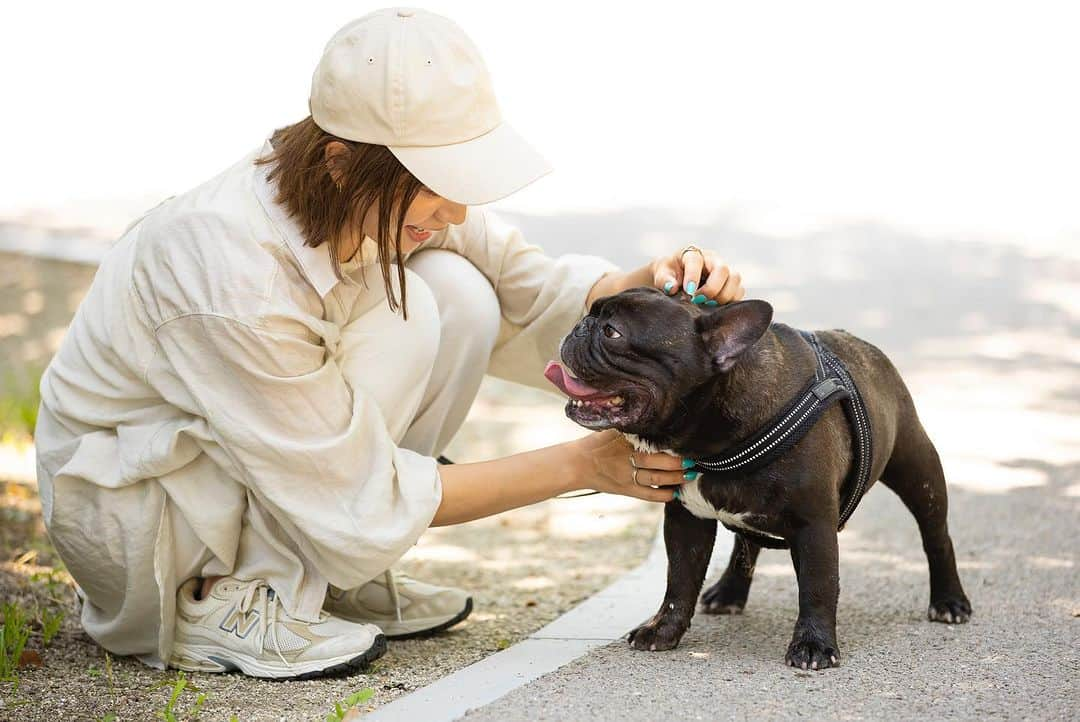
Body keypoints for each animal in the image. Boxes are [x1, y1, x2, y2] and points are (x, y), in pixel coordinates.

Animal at [544, 287, 976, 669]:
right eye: (591, 314)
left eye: (612, 332)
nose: (579, 325)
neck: (708, 435)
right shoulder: (687, 519)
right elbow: (679, 578)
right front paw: (663, 629)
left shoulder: (815, 524)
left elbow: (818, 583)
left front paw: (814, 645)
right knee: (745, 544)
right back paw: (729, 591)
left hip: (917, 469)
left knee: (935, 534)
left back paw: (949, 600)